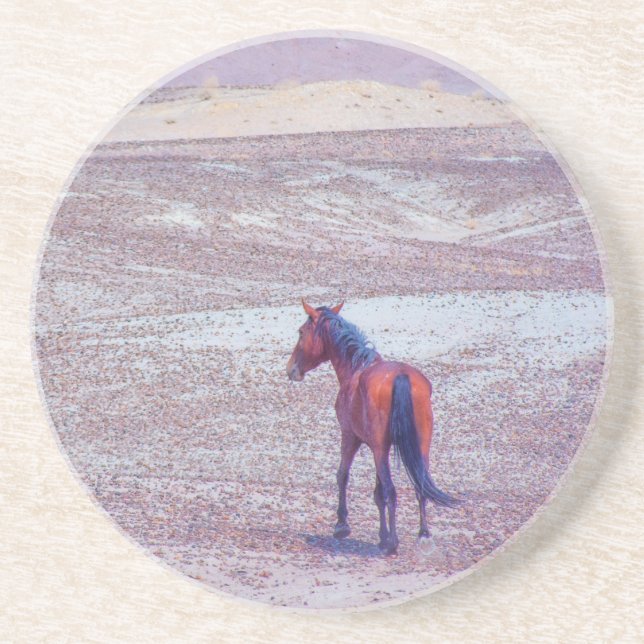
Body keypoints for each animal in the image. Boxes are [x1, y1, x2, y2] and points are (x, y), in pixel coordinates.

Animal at [286, 300, 460, 555]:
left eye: (300, 332)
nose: (290, 369)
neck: (356, 367)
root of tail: (401, 376)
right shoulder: (380, 449)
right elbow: (378, 494)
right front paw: (382, 536)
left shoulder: (351, 437)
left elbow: (344, 476)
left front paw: (343, 525)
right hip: (419, 447)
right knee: (420, 486)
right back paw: (424, 536)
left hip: (377, 447)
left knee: (391, 490)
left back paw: (394, 543)